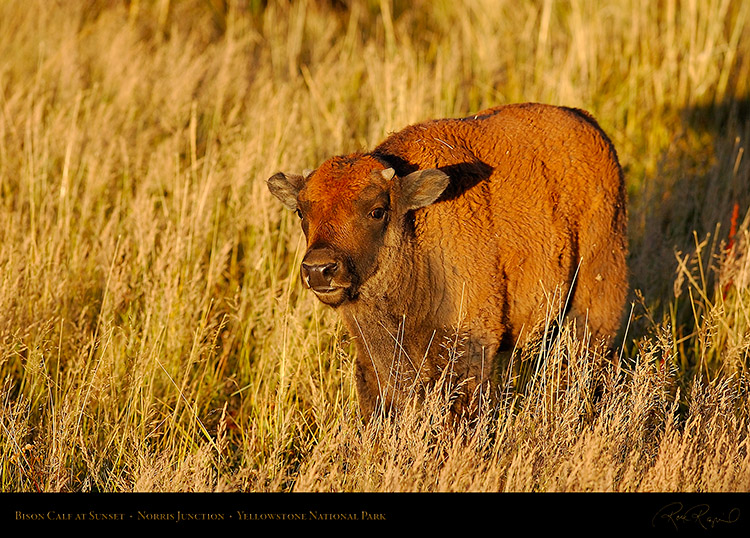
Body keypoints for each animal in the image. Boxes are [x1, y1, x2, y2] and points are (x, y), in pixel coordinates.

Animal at [268, 102, 628, 416]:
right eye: (301, 212)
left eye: (377, 211)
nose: (319, 269)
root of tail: (589, 124)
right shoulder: (374, 355)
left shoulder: (468, 345)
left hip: (595, 297)